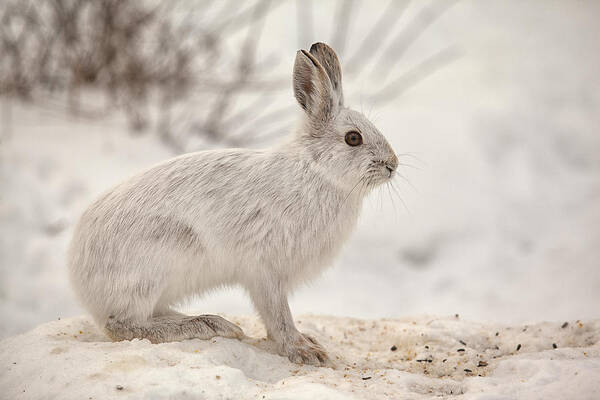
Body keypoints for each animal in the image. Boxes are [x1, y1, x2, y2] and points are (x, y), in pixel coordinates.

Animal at [68, 43, 398, 366]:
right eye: (353, 138)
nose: (392, 165)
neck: (317, 172)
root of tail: (79, 277)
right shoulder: (264, 270)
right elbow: (277, 314)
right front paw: (304, 350)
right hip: (152, 268)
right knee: (121, 325)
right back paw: (207, 324)